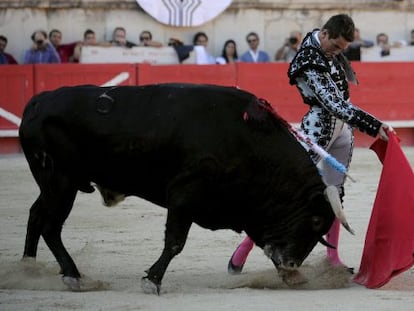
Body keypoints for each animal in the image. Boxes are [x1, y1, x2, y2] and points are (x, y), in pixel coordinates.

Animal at [18, 83, 342, 294]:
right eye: (315, 220)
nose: (292, 265)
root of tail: (37, 102)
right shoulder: (185, 194)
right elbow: (175, 241)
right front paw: (152, 281)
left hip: (53, 184)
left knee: (35, 215)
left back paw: (28, 269)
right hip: (60, 181)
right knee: (50, 226)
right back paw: (74, 277)